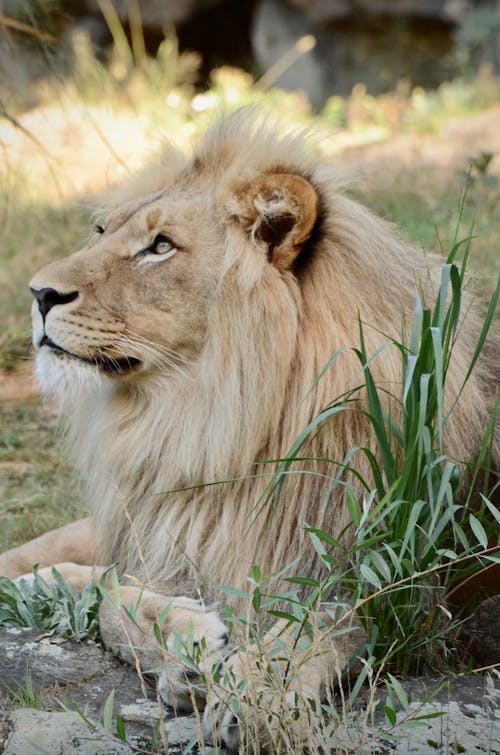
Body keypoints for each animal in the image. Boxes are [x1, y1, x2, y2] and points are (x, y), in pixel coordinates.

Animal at [0, 110, 498, 752]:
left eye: (161, 246)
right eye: (100, 230)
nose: (38, 293)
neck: (200, 419)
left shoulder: (388, 583)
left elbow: (315, 625)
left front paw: (254, 694)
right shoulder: (160, 533)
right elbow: (97, 587)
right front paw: (186, 649)